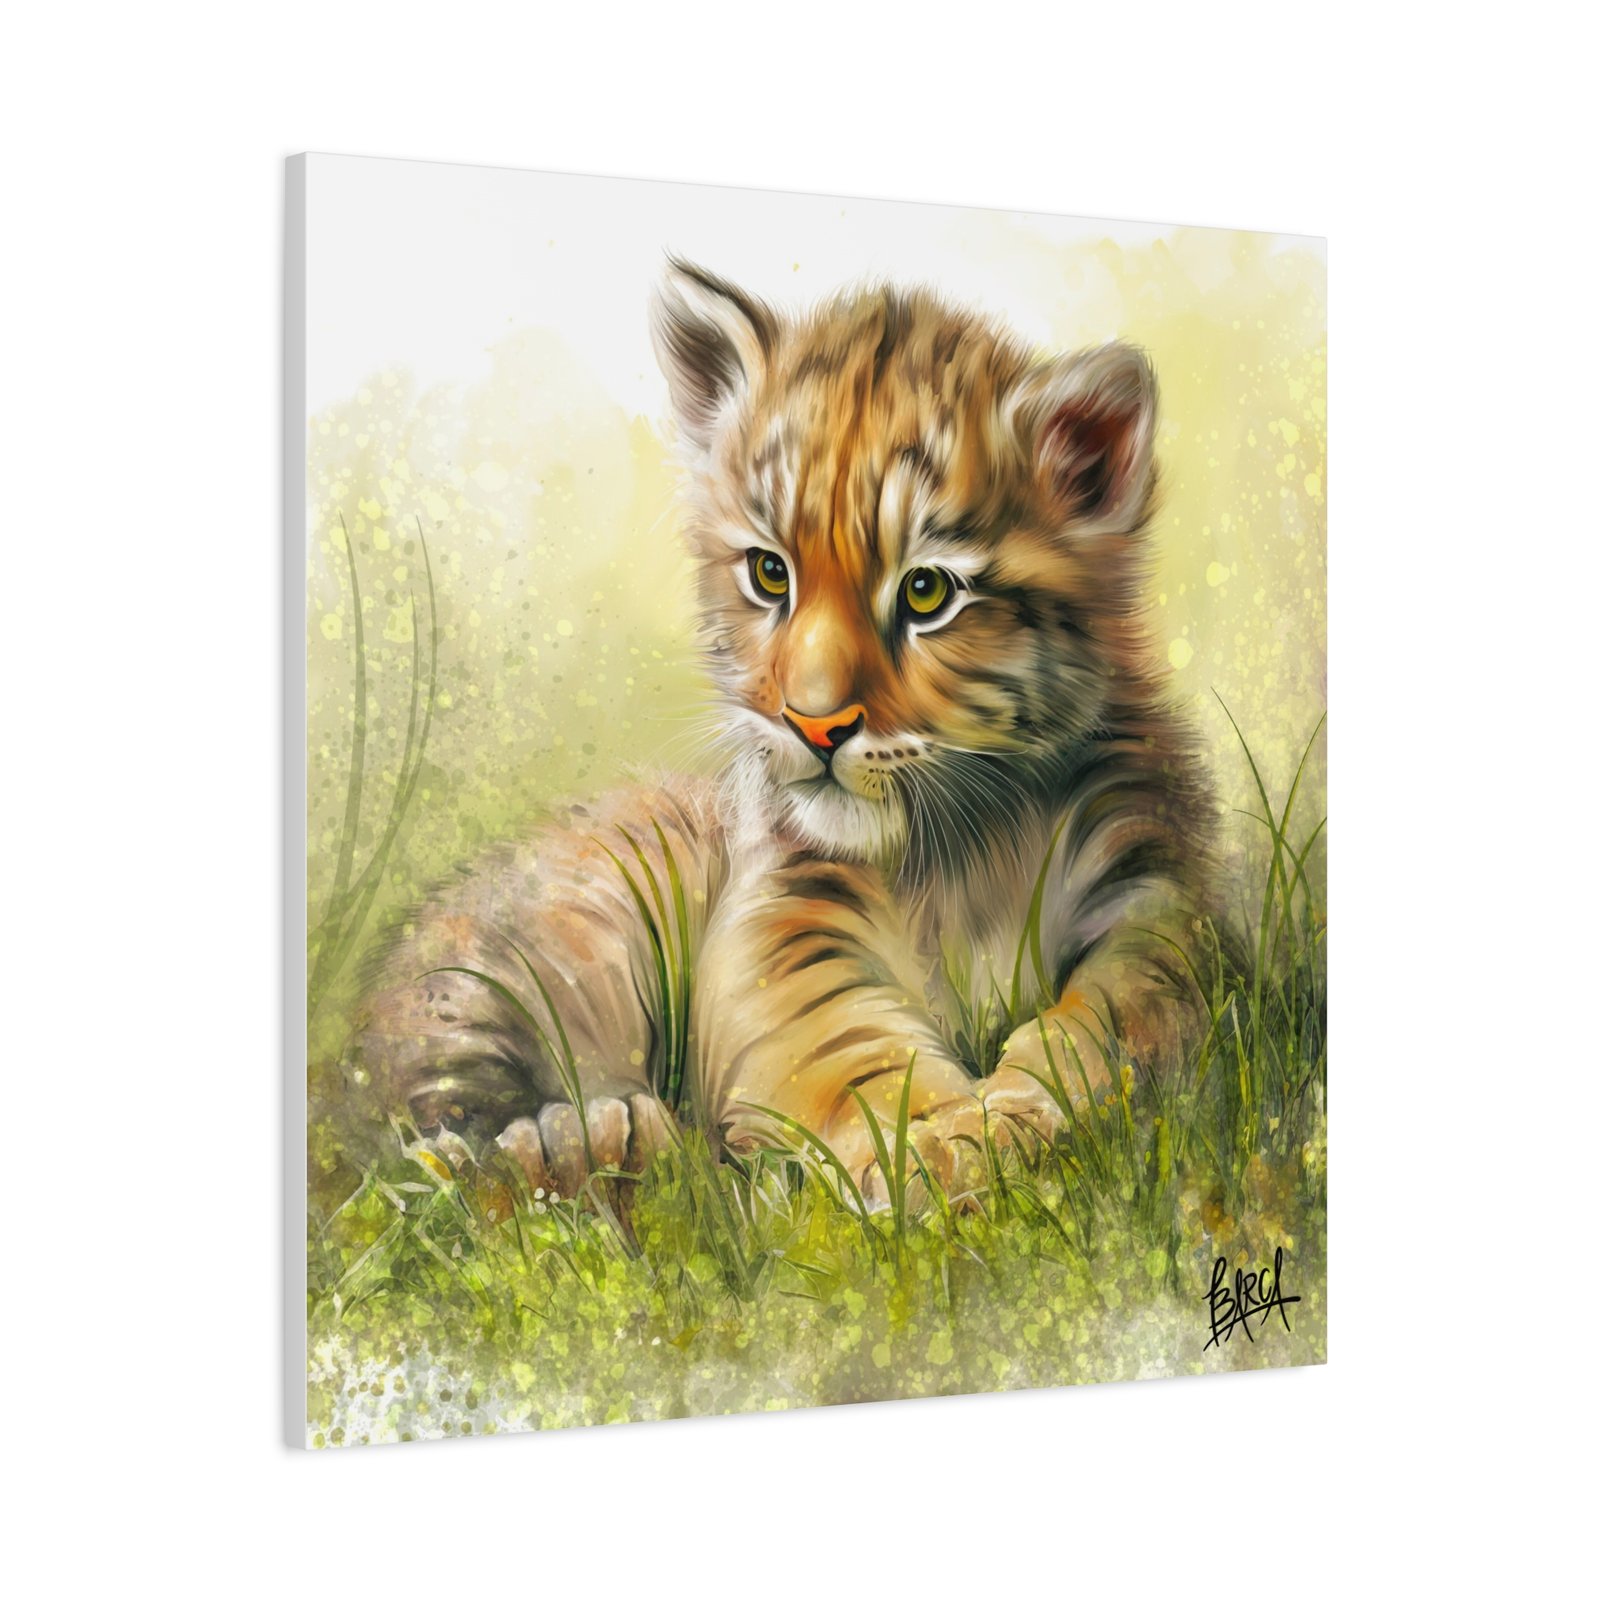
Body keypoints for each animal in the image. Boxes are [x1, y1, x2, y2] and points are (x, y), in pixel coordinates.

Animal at [341, 258, 1219, 1206]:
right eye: (770, 573)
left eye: (926, 592)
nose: (813, 723)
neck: (961, 850)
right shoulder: (786, 914)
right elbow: (847, 1044)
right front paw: (940, 1146)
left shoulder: (1150, 895)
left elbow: (1119, 1014)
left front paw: (1011, 1117)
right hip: (515, 962)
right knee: (423, 1147)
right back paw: (590, 1143)